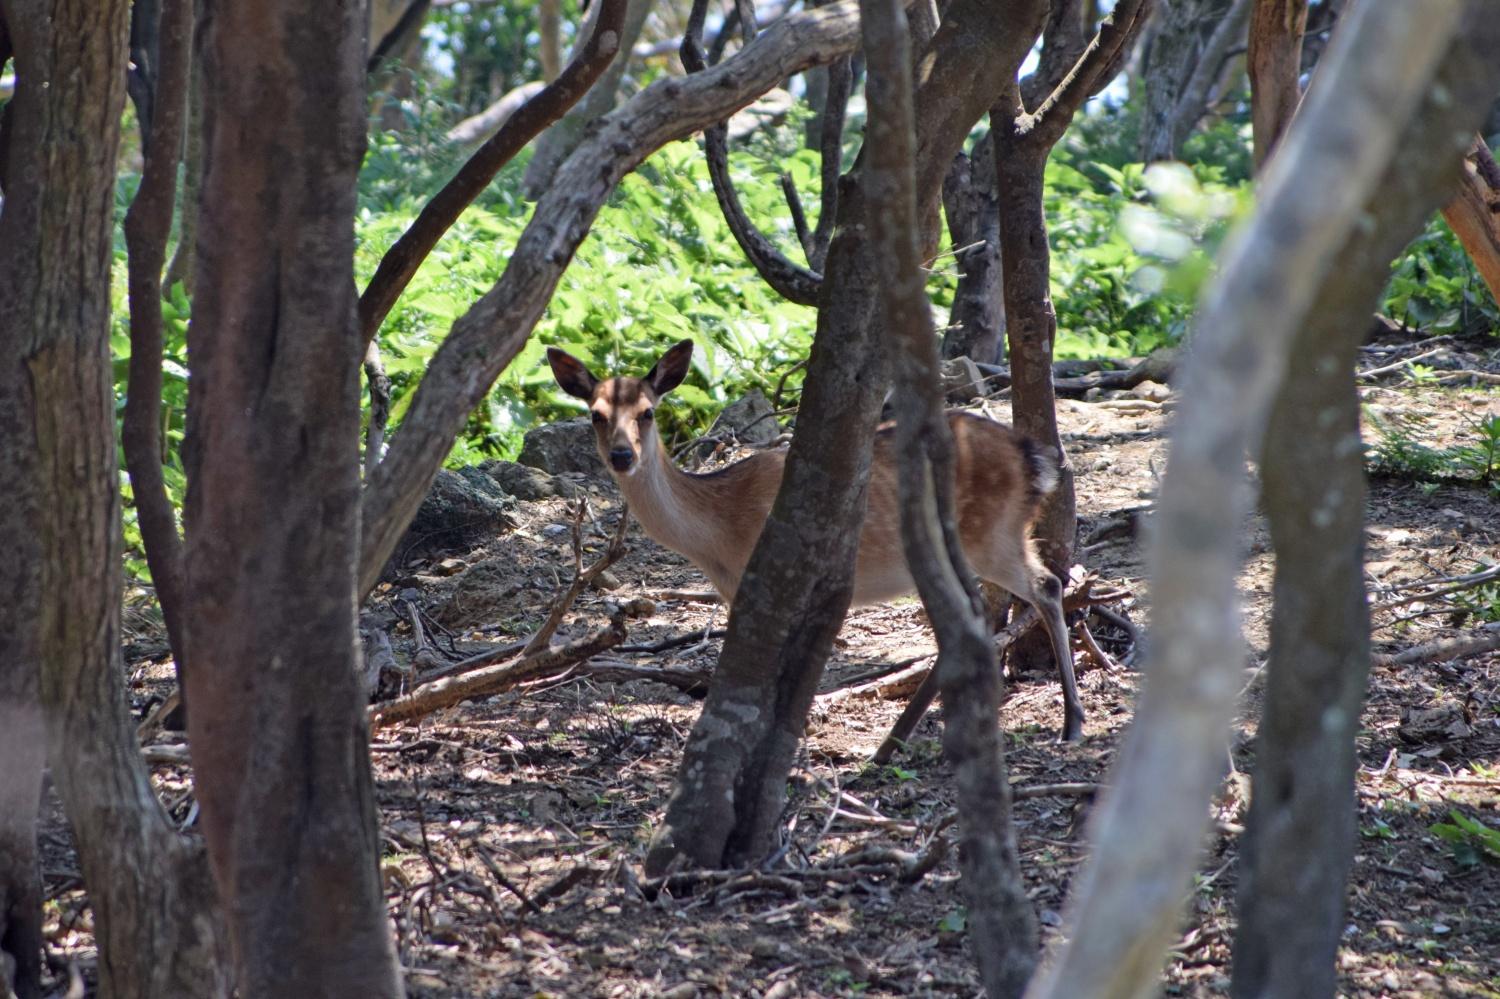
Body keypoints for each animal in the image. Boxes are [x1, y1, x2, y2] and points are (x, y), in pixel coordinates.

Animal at [546, 339, 1086, 735]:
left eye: (648, 412)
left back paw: (1072, 722)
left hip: (993, 535)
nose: (621, 456)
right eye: (595, 414)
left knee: (1046, 586)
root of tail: (1034, 461)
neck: (718, 537)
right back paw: (894, 741)